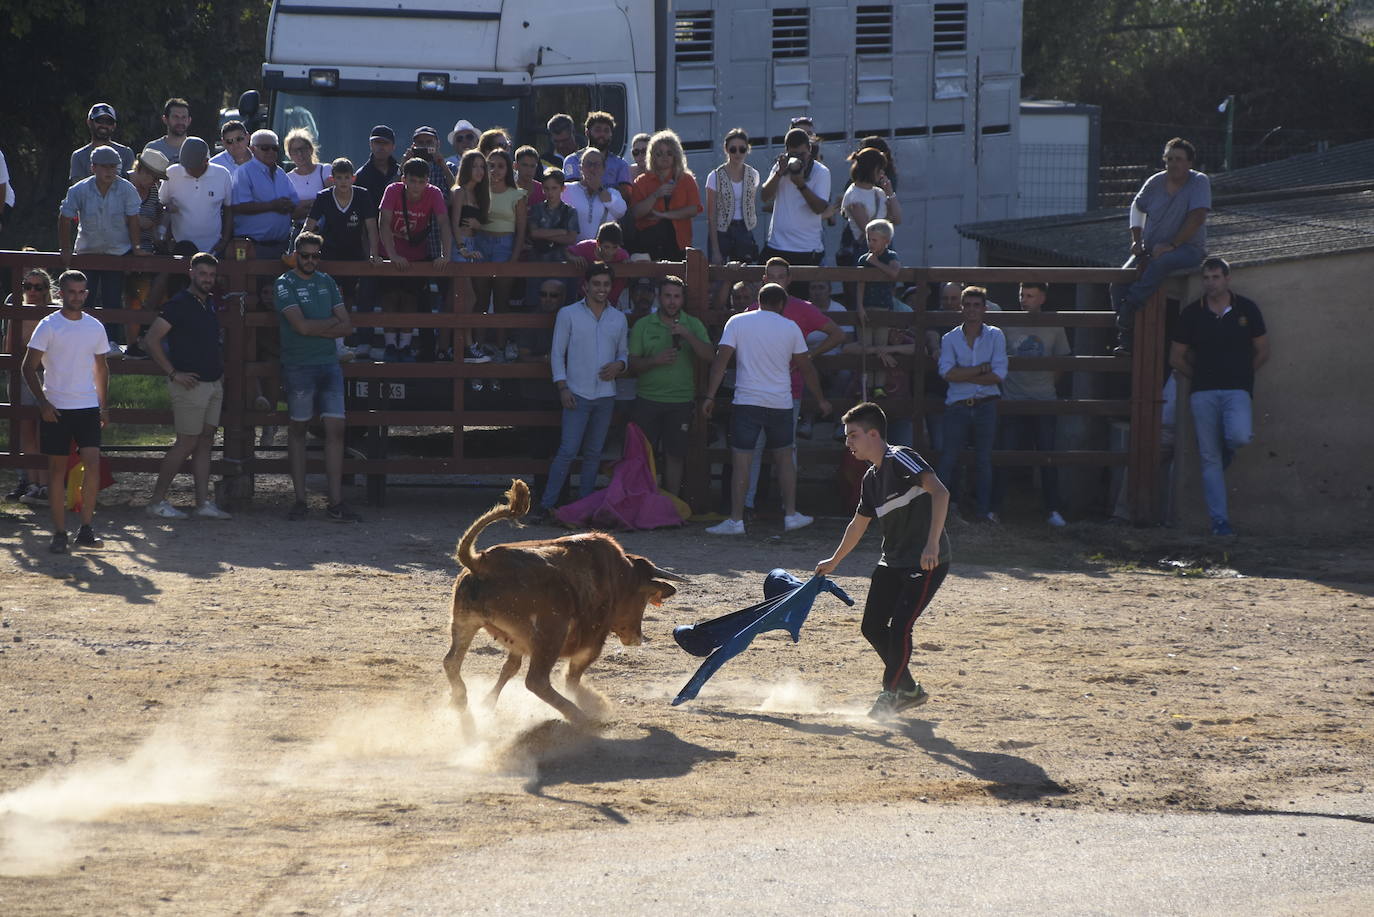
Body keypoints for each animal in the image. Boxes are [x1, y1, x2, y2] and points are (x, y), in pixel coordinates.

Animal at [442, 478, 684, 725]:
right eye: (643, 599)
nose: (637, 638)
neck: (621, 576)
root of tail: (481, 562)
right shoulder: (592, 641)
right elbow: (573, 674)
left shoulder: (517, 643)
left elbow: (510, 667)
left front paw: (487, 704)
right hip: (551, 634)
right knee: (536, 680)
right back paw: (578, 715)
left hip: (465, 623)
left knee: (452, 661)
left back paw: (460, 701)